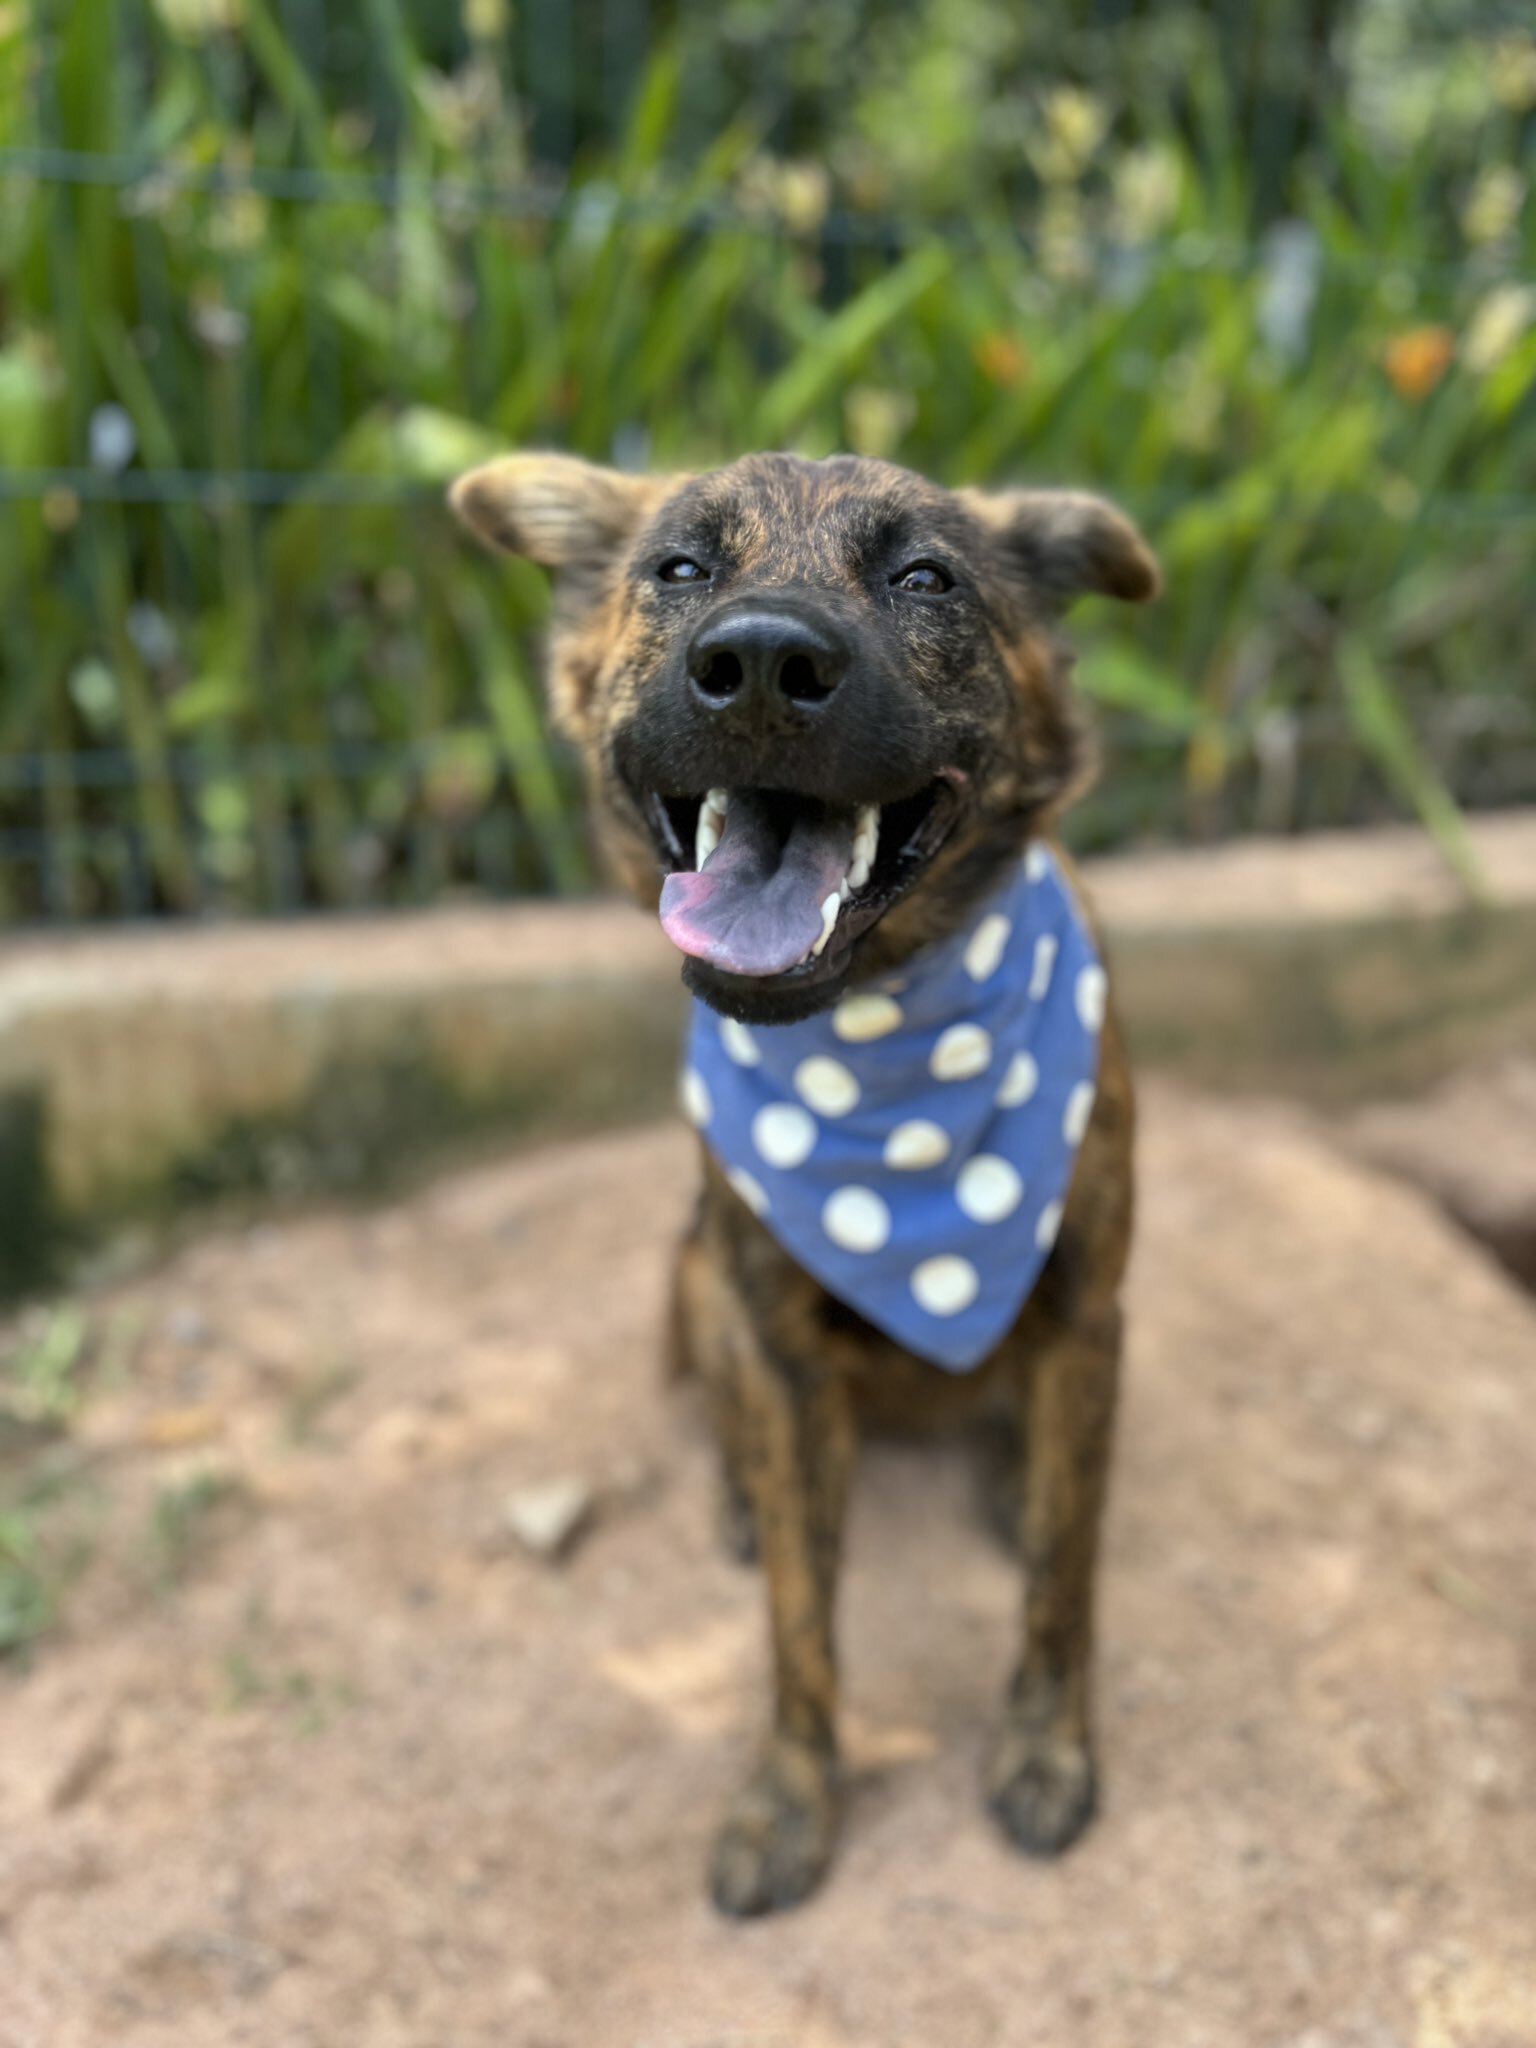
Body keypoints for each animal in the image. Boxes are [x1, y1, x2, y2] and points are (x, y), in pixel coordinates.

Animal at [450, 452, 1163, 1916]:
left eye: (926, 577)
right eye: (677, 569)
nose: (766, 664)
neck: (879, 1034)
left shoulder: (1086, 1310)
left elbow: (1066, 1573)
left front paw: (1046, 1751)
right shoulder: (776, 1342)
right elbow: (796, 1616)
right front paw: (789, 1799)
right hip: (694, 1274)